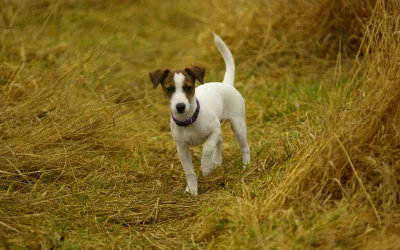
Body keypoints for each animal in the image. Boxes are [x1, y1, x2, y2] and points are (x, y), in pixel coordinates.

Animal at [149, 32, 250, 195]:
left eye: (188, 87)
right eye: (169, 89)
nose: (180, 106)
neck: (189, 120)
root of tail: (226, 84)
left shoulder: (214, 130)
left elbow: (207, 148)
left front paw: (205, 167)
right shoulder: (182, 149)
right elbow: (189, 172)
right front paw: (192, 189)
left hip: (238, 124)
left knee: (244, 146)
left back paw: (245, 165)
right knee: (220, 142)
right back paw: (217, 163)